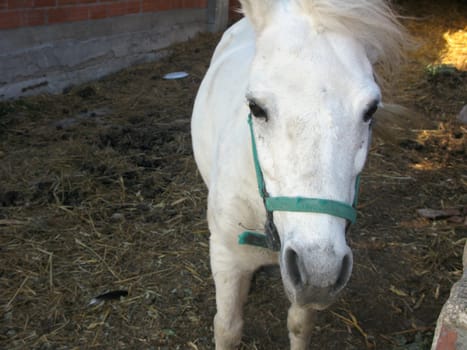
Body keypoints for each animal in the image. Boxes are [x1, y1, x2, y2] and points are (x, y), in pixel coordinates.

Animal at [192, 1, 408, 348]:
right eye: (256, 108)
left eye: (371, 110)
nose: (319, 271)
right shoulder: (226, 258)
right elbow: (227, 328)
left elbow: (299, 325)